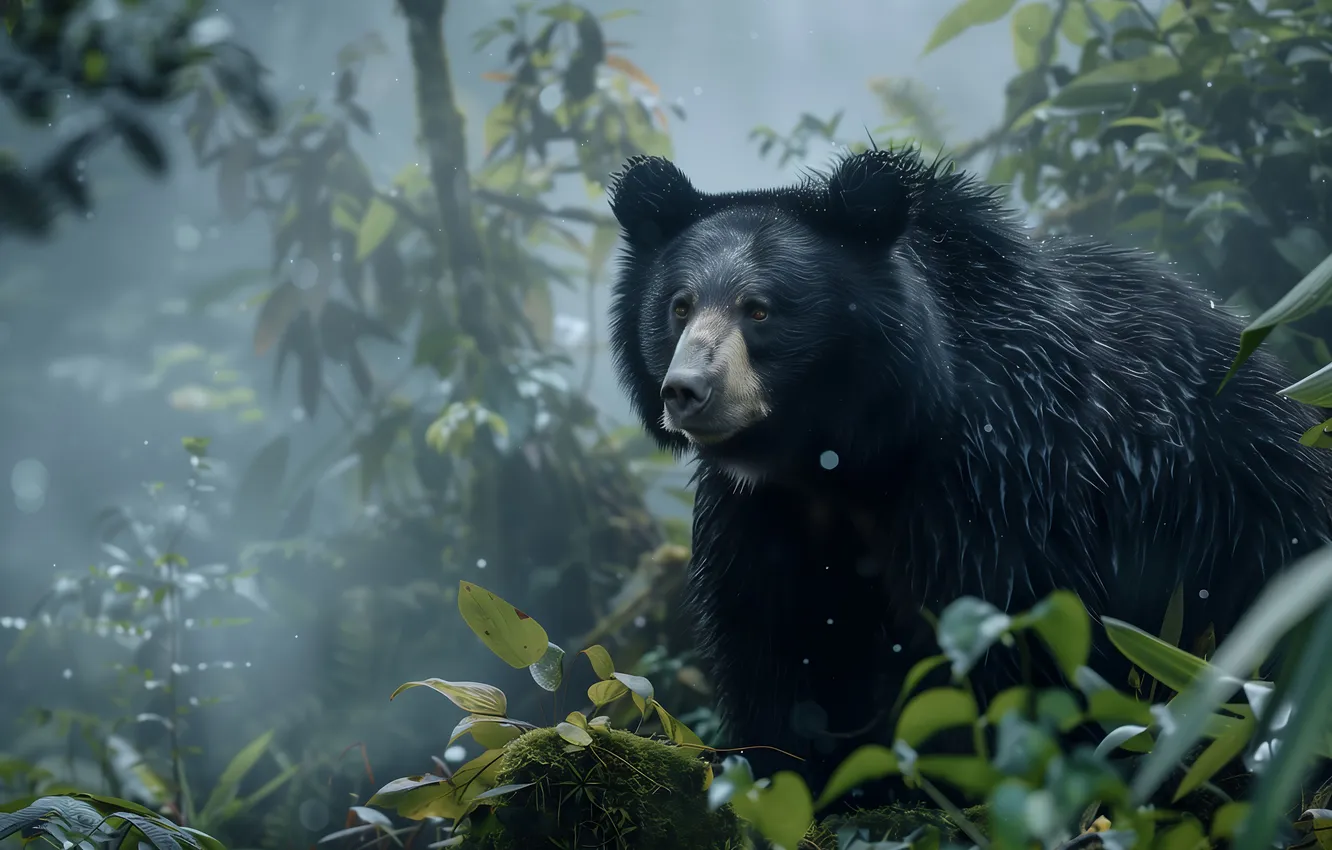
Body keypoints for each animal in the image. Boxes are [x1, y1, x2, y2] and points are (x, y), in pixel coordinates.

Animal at [603, 146, 1332, 809]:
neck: (843, 454)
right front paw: (788, 780)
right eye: (679, 306)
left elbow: (994, 633)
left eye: (759, 310)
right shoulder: (761, 511)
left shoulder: (1000, 476)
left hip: (1252, 525)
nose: (686, 392)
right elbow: (772, 637)